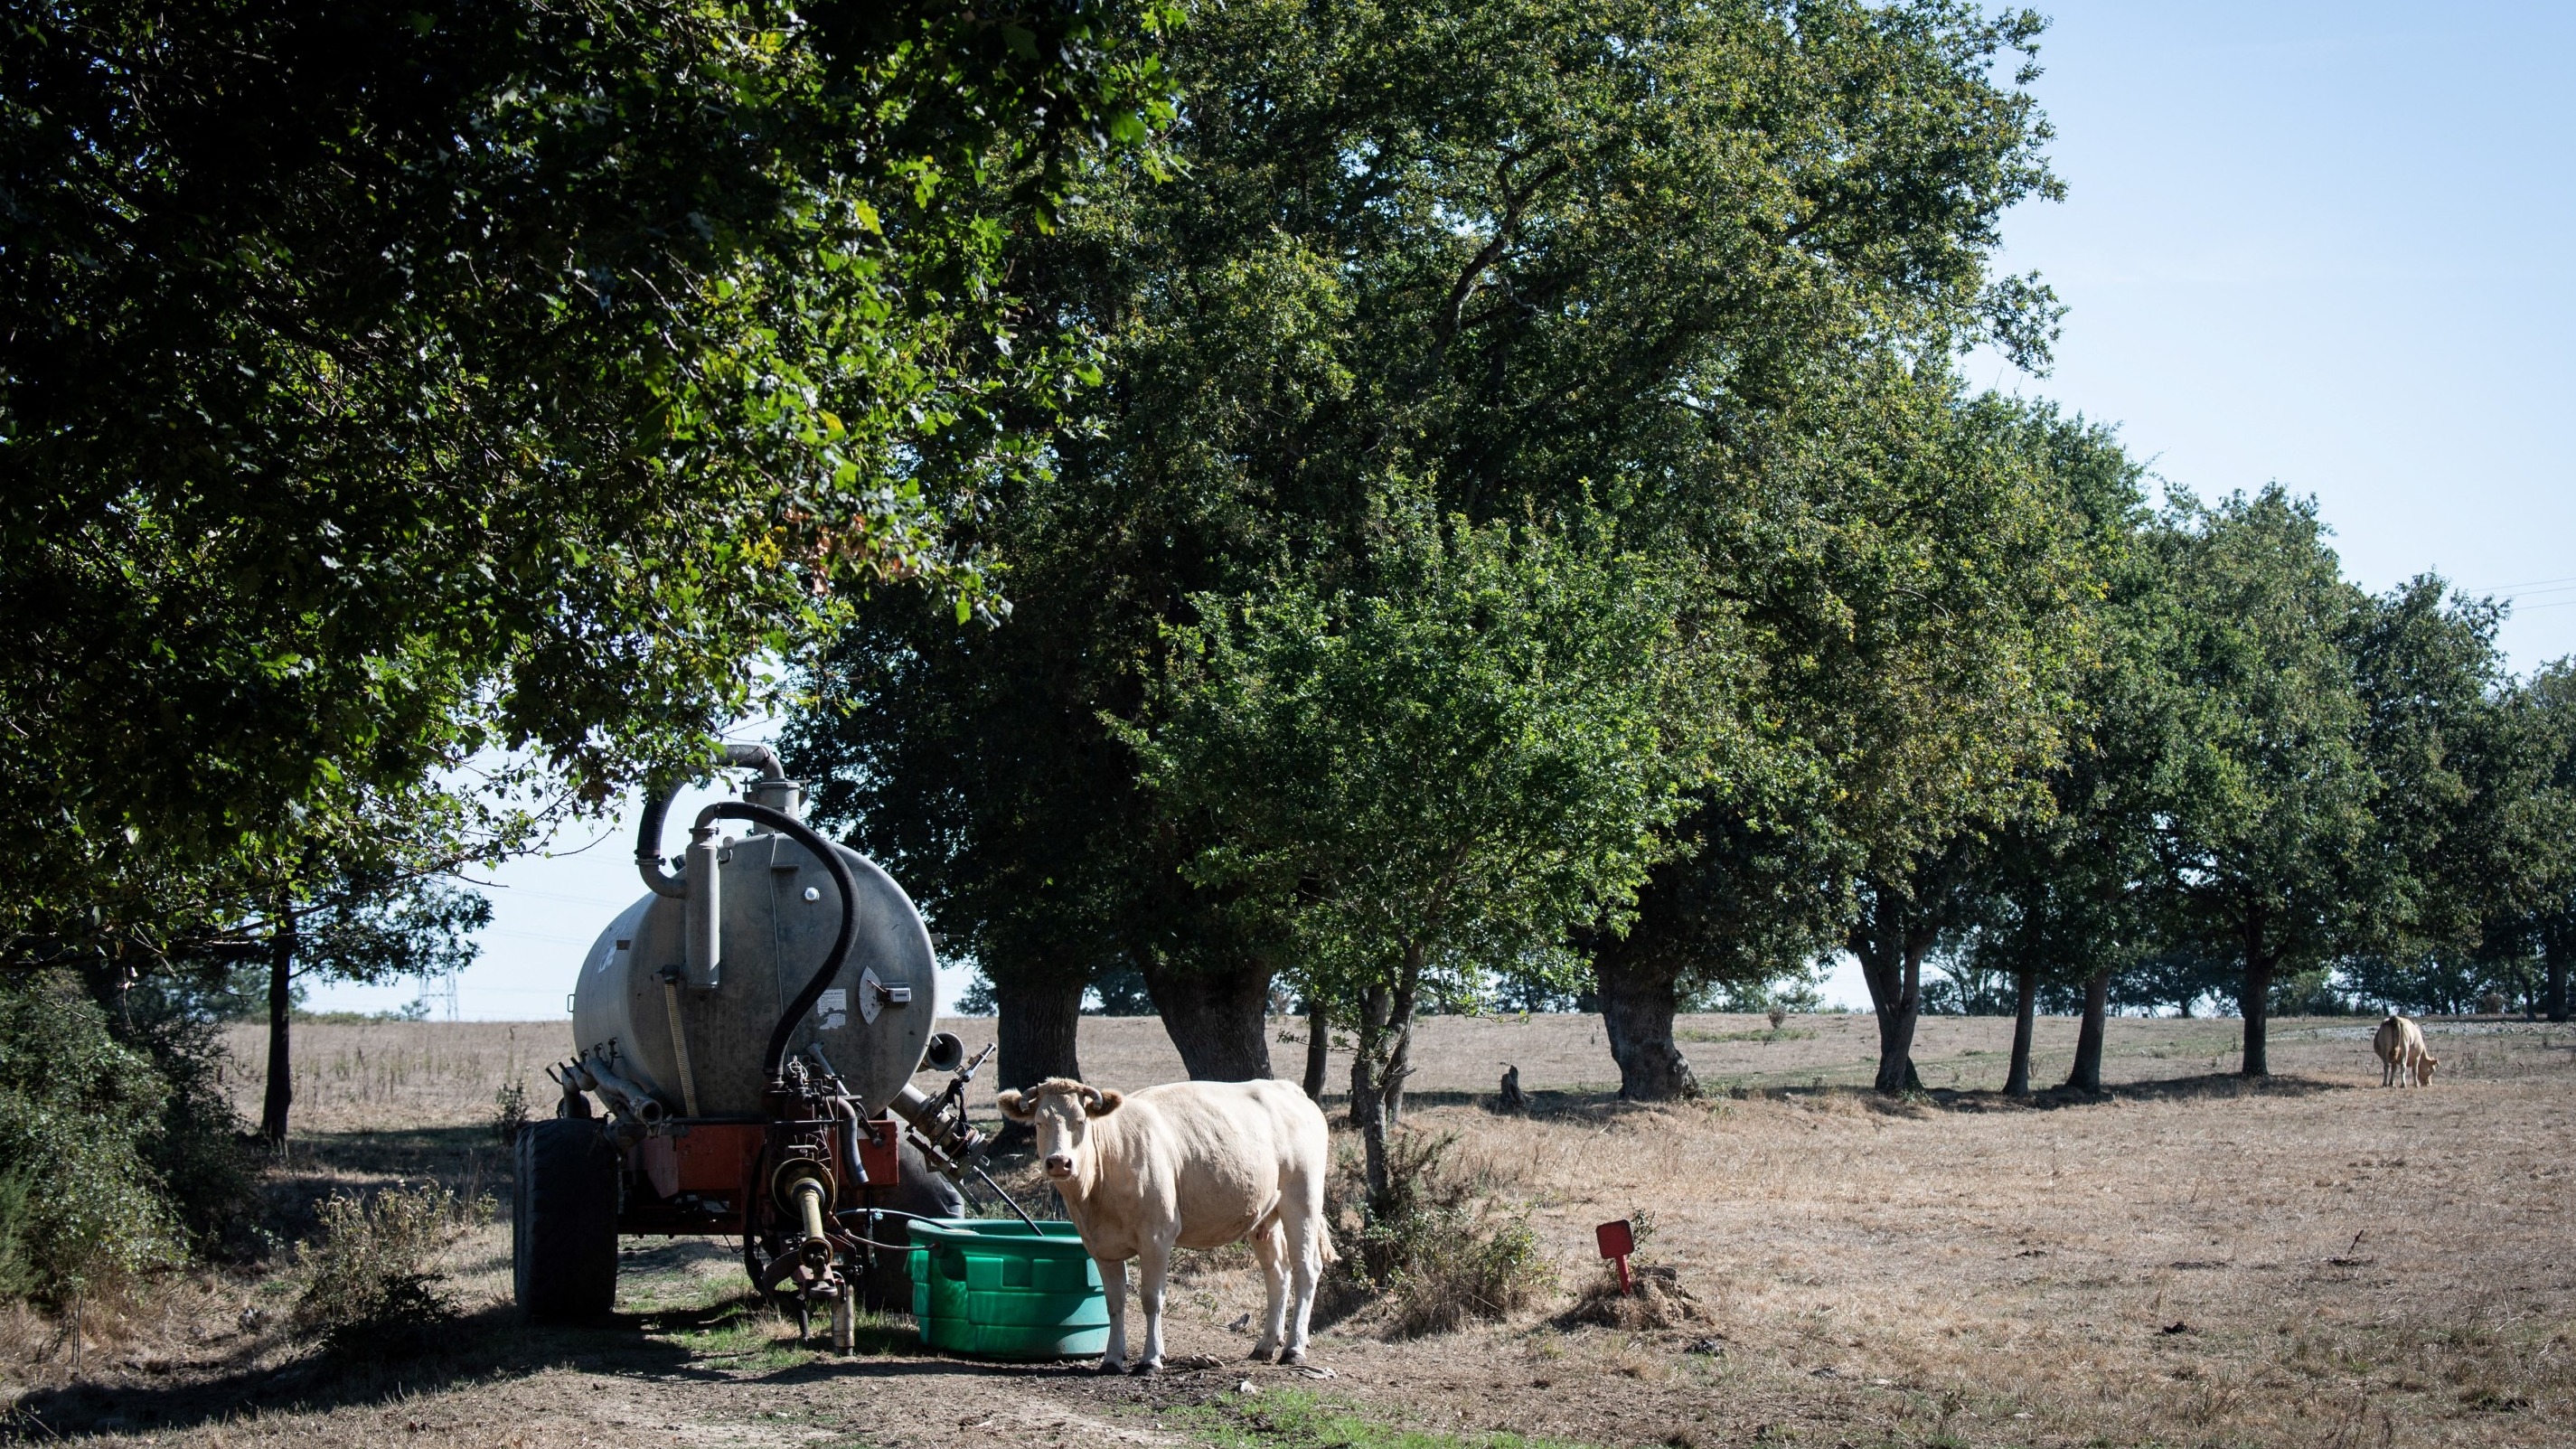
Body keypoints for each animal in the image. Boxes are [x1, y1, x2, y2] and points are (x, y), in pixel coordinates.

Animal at [999, 1072, 1340, 1361]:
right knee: (1277, 1272)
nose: (1059, 1162)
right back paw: (1266, 1344)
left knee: (1306, 1268)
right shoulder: (1101, 1246)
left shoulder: (1157, 1236)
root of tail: (1288, 1089)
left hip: (1303, 1200)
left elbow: (1151, 1298)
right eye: (1039, 1123)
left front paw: (1151, 1358)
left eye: (1080, 1121)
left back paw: (1294, 1348)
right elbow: (1114, 1303)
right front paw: (1112, 1359)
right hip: (1264, 1214)